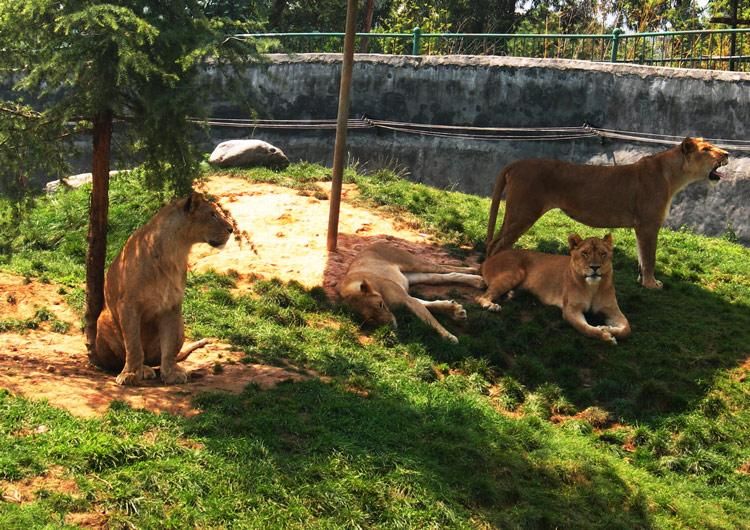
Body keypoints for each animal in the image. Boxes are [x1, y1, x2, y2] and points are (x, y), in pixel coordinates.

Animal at [90, 190, 234, 384]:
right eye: (212, 214)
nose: (231, 229)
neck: (176, 250)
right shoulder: (128, 304)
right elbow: (133, 344)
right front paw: (130, 374)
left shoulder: (171, 306)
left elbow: (169, 345)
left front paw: (171, 373)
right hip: (104, 319)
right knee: (125, 357)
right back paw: (144, 369)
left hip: (181, 324)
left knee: (160, 356)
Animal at [340, 240, 488, 342]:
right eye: (371, 319)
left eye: (380, 305)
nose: (392, 325)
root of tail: (374, 243)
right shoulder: (408, 298)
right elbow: (429, 305)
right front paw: (455, 310)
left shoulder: (407, 299)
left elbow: (430, 320)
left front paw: (449, 337)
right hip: (413, 276)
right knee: (442, 276)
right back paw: (477, 280)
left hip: (415, 263)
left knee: (444, 267)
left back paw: (475, 271)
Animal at [478, 232, 632, 342]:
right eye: (585, 253)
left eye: (603, 254)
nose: (595, 267)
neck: (592, 287)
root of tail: (489, 259)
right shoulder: (571, 309)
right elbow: (584, 328)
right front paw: (604, 335)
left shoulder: (612, 310)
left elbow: (627, 328)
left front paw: (607, 328)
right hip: (515, 273)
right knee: (481, 296)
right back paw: (490, 305)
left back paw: (511, 295)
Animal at [488, 135, 728, 284]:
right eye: (707, 149)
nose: (727, 153)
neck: (673, 176)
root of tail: (516, 163)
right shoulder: (648, 224)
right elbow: (650, 257)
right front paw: (652, 284)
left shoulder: (641, 227)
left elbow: (642, 257)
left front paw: (642, 282)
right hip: (524, 213)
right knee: (498, 245)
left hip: (514, 214)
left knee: (494, 242)